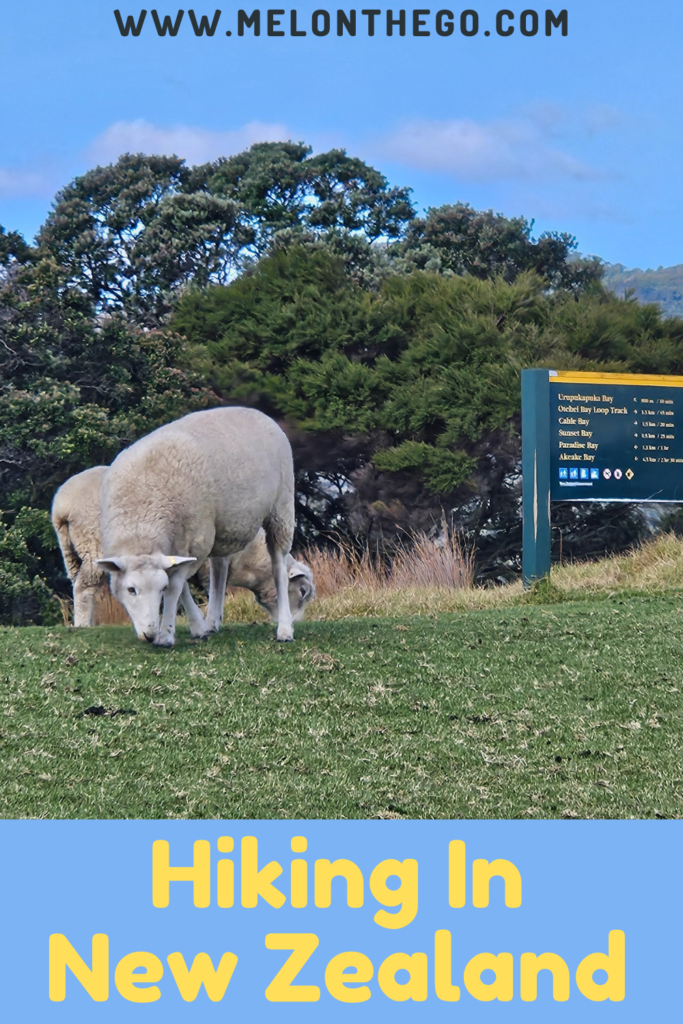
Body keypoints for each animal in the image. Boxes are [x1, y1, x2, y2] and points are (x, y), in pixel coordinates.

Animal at [51, 466, 315, 630]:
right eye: (302, 592)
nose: (297, 622)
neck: (253, 561)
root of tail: (63, 503)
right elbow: (211, 590)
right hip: (95, 542)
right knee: (85, 586)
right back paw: (83, 625)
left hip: (75, 550)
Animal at [96, 403, 299, 643]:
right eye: (131, 590)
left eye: (160, 588)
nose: (149, 634)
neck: (141, 524)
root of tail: (256, 412)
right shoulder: (177, 547)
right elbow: (181, 586)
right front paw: (197, 626)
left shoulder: (195, 542)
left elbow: (175, 587)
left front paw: (166, 635)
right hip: (224, 527)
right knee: (220, 568)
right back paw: (212, 621)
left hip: (281, 508)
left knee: (279, 567)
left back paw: (284, 628)